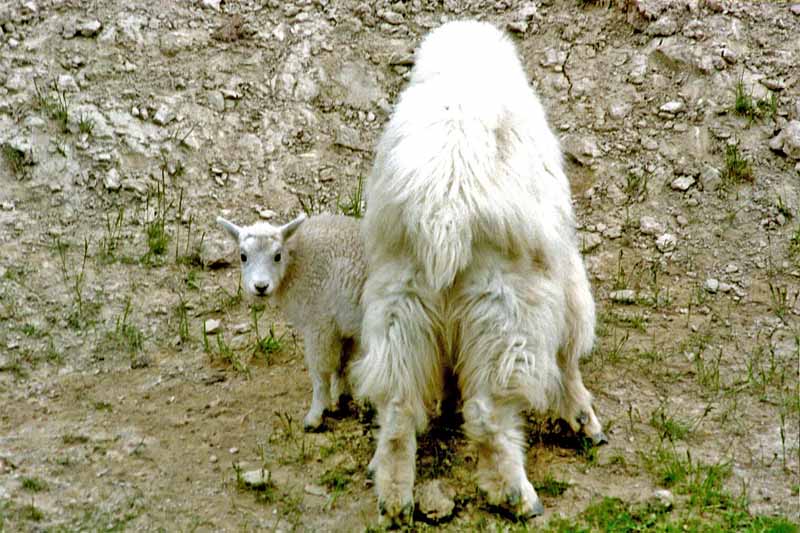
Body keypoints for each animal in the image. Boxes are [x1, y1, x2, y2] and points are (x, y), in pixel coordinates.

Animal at [219, 212, 368, 428]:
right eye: (243, 256)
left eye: (277, 256)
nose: (261, 287)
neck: (299, 263)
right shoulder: (344, 326)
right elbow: (343, 363)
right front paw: (341, 400)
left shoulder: (319, 323)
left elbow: (320, 372)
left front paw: (315, 416)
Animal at [350, 19, 608, 524]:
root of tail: (442, 210)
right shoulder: (563, 279)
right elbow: (568, 358)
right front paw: (584, 421)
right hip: (506, 308)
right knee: (490, 410)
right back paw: (516, 496)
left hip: (402, 300)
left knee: (397, 404)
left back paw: (395, 497)